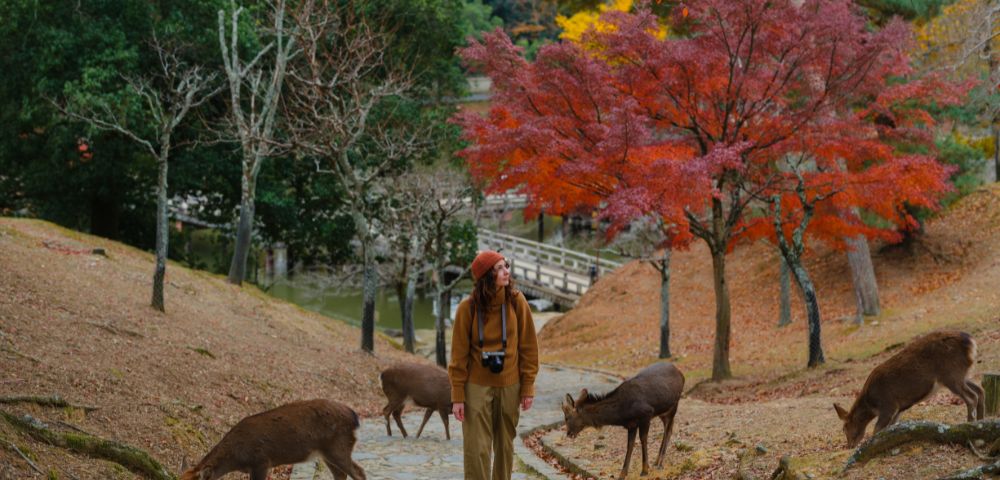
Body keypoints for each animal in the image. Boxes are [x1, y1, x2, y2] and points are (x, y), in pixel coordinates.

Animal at [179, 399, 366, 480]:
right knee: (341, 474)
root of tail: (355, 418)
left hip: (338, 446)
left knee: (359, 472)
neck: (236, 458)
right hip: (327, 453)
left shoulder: (261, 461)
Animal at [834, 330, 985, 449]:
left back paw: (973, 433)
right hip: (961, 374)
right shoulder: (898, 408)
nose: (849, 446)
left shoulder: (888, 404)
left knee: (972, 397)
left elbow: (877, 430)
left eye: (844, 428)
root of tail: (971, 342)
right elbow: (890, 428)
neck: (871, 404)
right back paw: (981, 429)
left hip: (951, 374)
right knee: (980, 390)